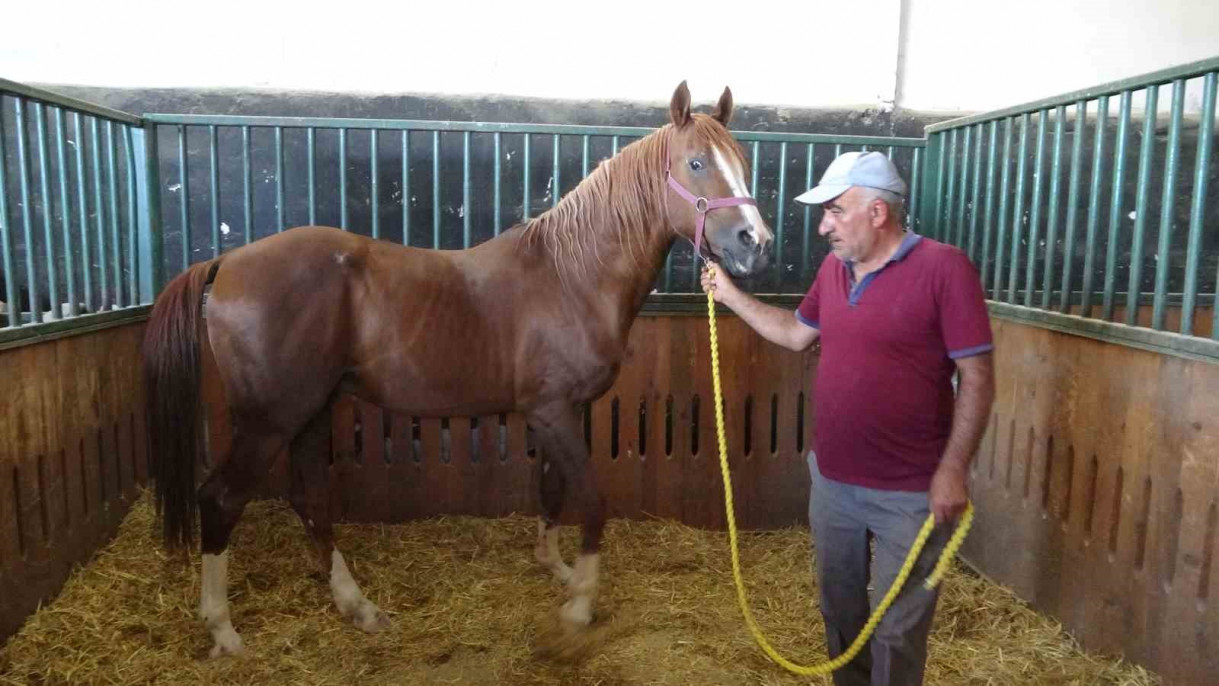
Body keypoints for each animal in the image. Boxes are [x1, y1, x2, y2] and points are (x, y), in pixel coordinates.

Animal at [142, 80, 770, 653]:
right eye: (696, 163)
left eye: (741, 163)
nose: (754, 242)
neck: (572, 274)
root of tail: (226, 262)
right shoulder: (552, 412)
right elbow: (591, 501)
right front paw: (579, 607)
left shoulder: (554, 413)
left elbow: (551, 490)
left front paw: (557, 569)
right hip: (270, 420)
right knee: (221, 499)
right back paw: (224, 629)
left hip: (311, 412)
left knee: (311, 501)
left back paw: (357, 607)